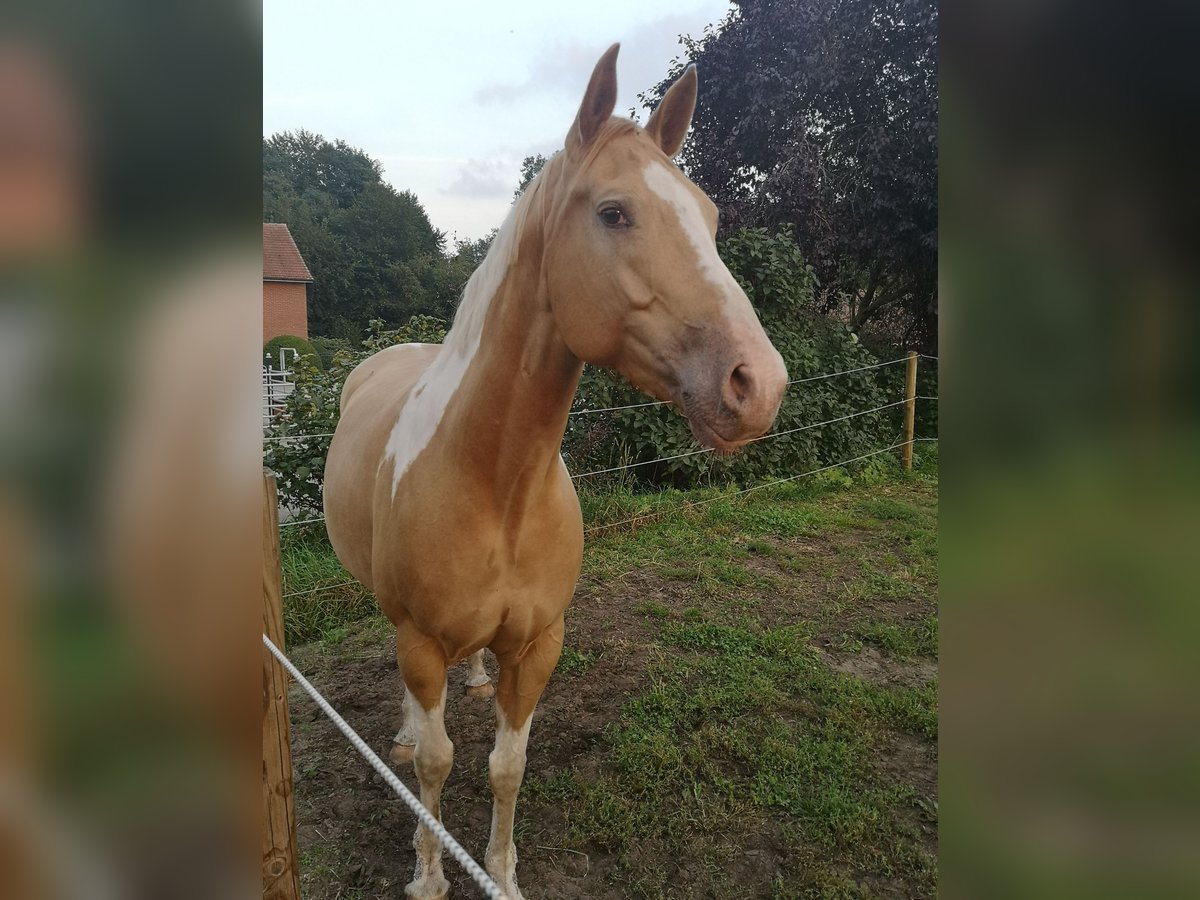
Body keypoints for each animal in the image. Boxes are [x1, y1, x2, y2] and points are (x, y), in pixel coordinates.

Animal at [321, 44, 787, 900]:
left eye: (709, 218)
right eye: (613, 213)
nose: (759, 385)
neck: (496, 483)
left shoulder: (539, 645)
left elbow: (507, 766)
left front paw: (502, 875)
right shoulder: (420, 641)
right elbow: (436, 764)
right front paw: (429, 875)